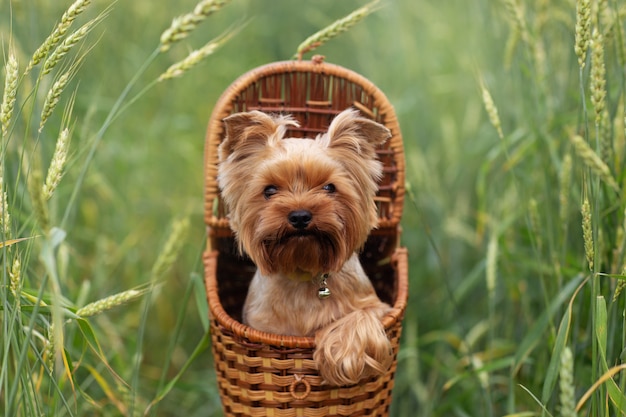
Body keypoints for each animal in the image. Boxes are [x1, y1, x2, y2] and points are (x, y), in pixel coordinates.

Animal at [216, 108, 390, 386]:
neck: (304, 271)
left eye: (330, 187)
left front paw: (341, 355)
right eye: (269, 190)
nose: (299, 216)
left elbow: (360, 315)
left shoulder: (378, 307)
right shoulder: (263, 328)